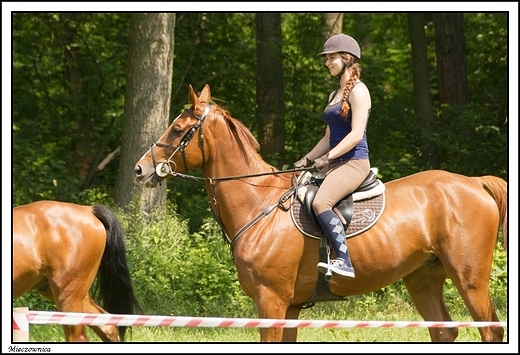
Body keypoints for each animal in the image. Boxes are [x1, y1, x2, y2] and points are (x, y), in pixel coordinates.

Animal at [134, 85, 508, 344]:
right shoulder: (289, 308)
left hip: (470, 279)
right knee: (443, 331)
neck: (258, 204)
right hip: (423, 278)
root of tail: (474, 182)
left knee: (489, 329)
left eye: (178, 129)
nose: (140, 169)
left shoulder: (271, 302)